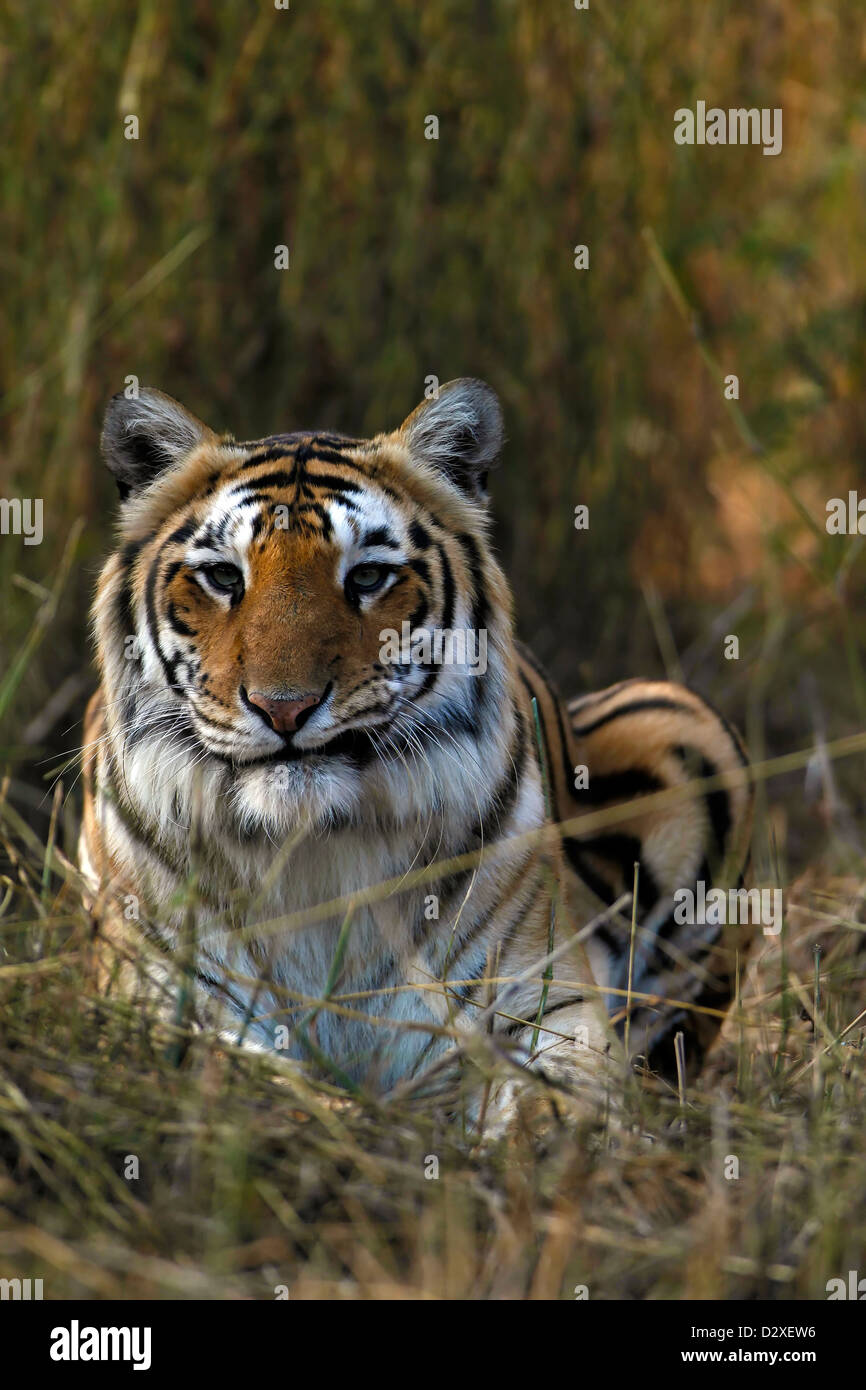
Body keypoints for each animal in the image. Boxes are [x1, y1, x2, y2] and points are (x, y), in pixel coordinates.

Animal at [79, 378, 753, 1117]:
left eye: (368, 577)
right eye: (224, 578)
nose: (284, 706)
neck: (313, 848)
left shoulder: (542, 1002)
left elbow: (556, 1097)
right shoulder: (156, 1001)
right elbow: (254, 1079)